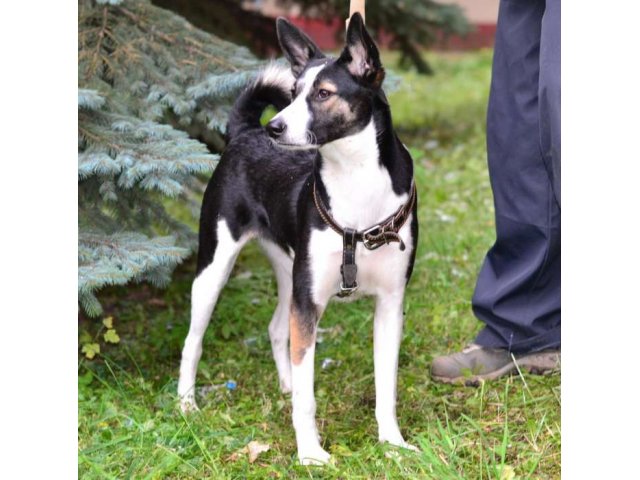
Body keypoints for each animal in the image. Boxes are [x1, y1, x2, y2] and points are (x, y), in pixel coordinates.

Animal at [179, 14, 420, 464]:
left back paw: (287, 383)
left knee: (277, 329)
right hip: (214, 267)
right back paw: (186, 403)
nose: (275, 126)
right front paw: (310, 453)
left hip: (289, 273)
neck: (356, 177)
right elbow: (308, 401)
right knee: (193, 340)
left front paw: (392, 443)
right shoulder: (308, 304)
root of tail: (245, 133)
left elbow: (386, 387)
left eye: (323, 94)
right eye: (292, 94)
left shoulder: (389, 305)